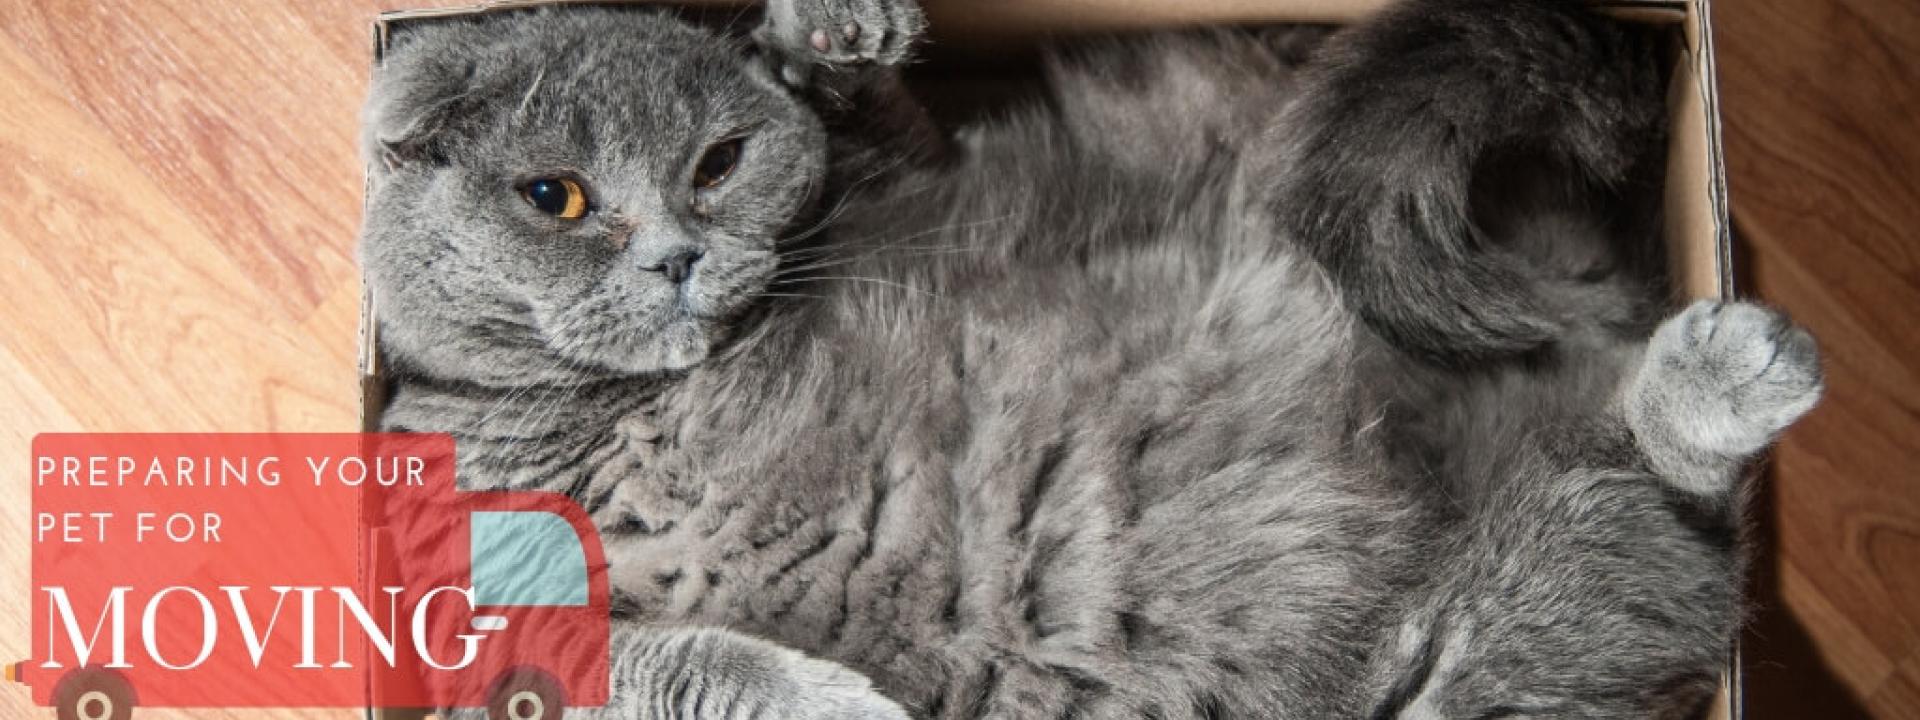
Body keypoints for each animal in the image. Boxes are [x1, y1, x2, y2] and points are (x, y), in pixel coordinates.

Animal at [362, 0, 1827, 718]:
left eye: (719, 163)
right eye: (554, 198)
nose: (673, 255)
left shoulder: (913, 183)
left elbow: (875, 117)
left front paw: (831, 32)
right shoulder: (462, 637)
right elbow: (659, 666)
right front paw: (839, 705)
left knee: (1657, 515)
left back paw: (1722, 375)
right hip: (1481, 630)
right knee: (1638, 535)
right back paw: (1720, 376)